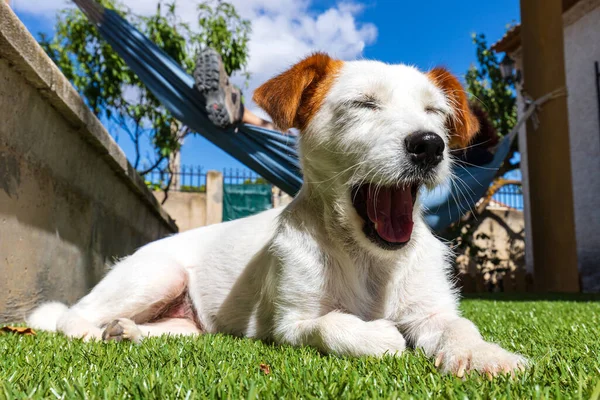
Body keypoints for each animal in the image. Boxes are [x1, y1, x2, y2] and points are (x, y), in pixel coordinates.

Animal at [28, 54, 524, 376]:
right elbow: (334, 325)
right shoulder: (288, 324)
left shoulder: (431, 311)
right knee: (73, 313)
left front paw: (486, 355)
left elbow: (460, 326)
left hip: (183, 321)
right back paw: (93, 333)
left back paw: (127, 333)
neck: (369, 260)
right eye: (363, 104)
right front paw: (382, 337)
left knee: (173, 330)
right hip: (157, 274)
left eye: (435, 112)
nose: (429, 145)